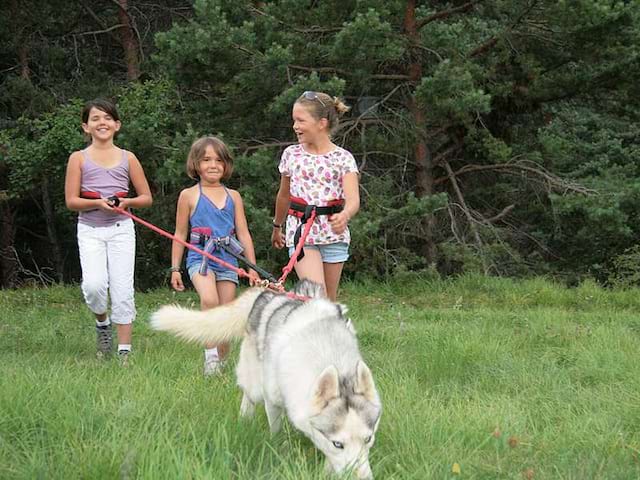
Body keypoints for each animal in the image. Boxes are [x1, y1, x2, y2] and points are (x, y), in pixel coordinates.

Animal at [151, 280, 380, 478]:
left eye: (368, 439)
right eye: (338, 444)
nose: (365, 479)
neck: (326, 350)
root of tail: (267, 292)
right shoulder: (273, 399)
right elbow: (276, 430)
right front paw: (278, 447)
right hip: (255, 382)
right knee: (248, 394)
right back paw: (245, 418)